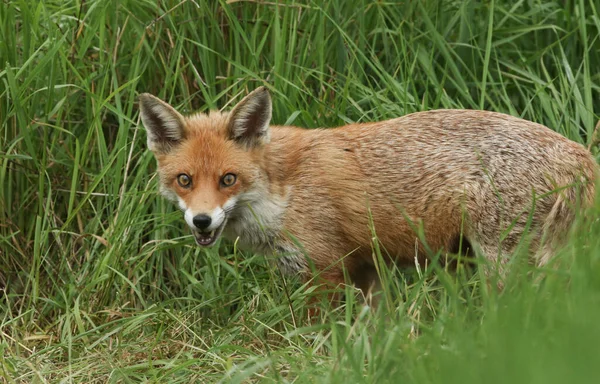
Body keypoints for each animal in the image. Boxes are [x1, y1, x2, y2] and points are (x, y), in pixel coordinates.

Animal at [139, 86, 596, 304]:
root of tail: (582, 154)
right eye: (185, 180)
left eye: (228, 179)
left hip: (503, 265)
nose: (201, 220)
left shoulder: (323, 271)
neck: (282, 191)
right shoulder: (365, 270)